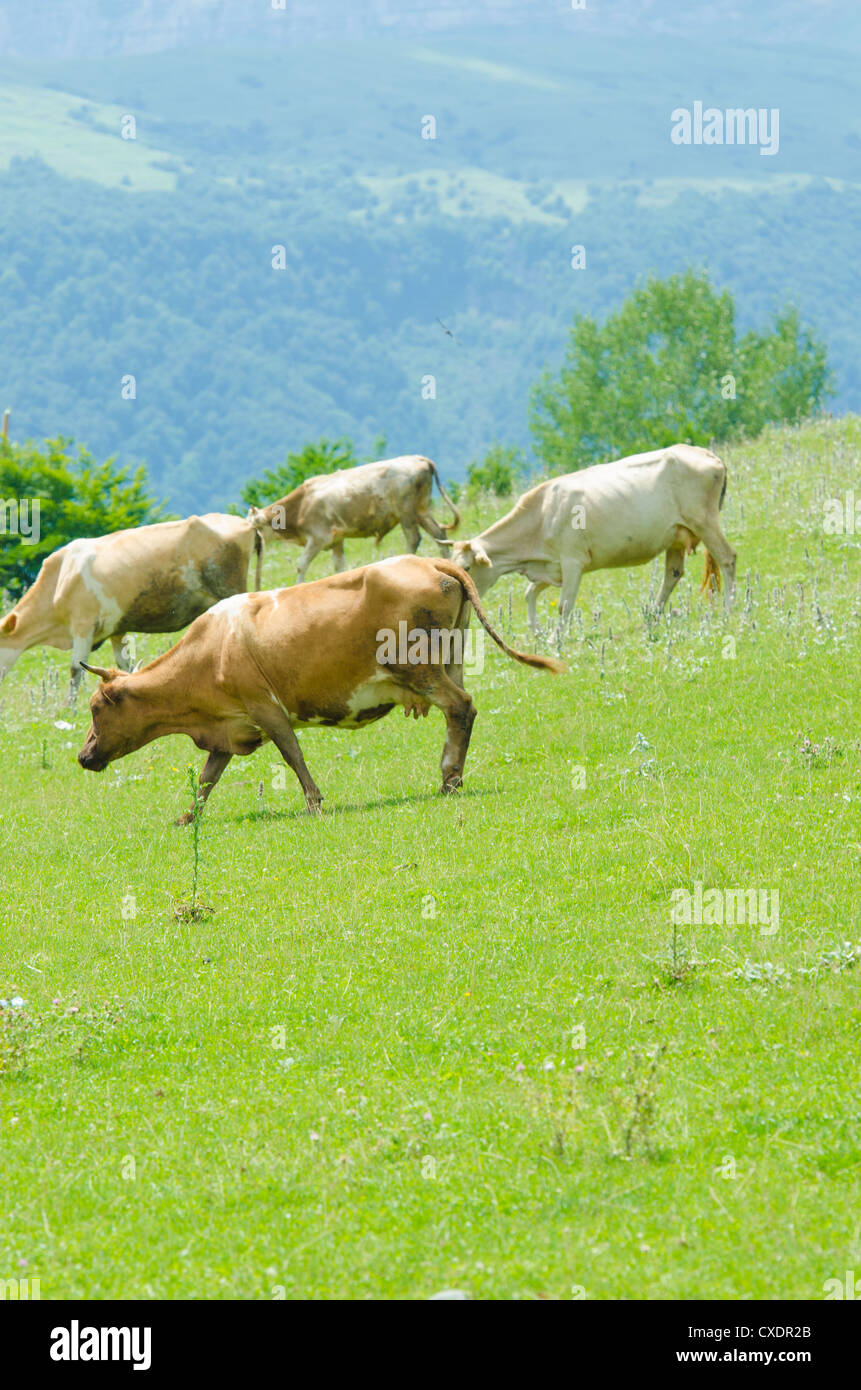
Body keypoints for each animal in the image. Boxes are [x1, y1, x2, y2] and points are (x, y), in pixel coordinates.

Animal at [0, 514, 264, 699]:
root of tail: (245, 523)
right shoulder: (116, 629)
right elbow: (124, 664)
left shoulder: (83, 625)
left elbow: (75, 670)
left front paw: (69, 708)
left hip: (230, 588)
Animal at [76, 555, 564, 821]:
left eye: (97, 708)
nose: (83, 755)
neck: (210, 651)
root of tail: (427, 560)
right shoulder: (230, 729)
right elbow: (206, 778)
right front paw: (187, 818)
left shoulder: (266, 707)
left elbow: (292, 754)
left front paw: (313, 803)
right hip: (451, 659)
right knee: (459, 710)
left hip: (420, 669)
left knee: (461, 707)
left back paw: (449, 778)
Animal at [247, 454, 460, 583]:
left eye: (253, 527)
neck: (302, 504)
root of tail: (419, 458)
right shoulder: (336, 539)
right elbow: (339, 565)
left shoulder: (318, 538)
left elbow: (301, 565)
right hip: (421, 510)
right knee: (439, 532)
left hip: (406, 512)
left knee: (414, 538)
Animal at [444, 444, 736, 629]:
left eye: (467, 567)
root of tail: (704, 452)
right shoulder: (552, 567)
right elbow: (529, 594)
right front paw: (537, 633)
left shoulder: (573, 562)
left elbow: (564, 606)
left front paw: (555, 641)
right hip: (676, 534)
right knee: (673, 573)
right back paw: (652, 616)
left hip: (705, 521)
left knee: (727, 558)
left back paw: (729, 611)